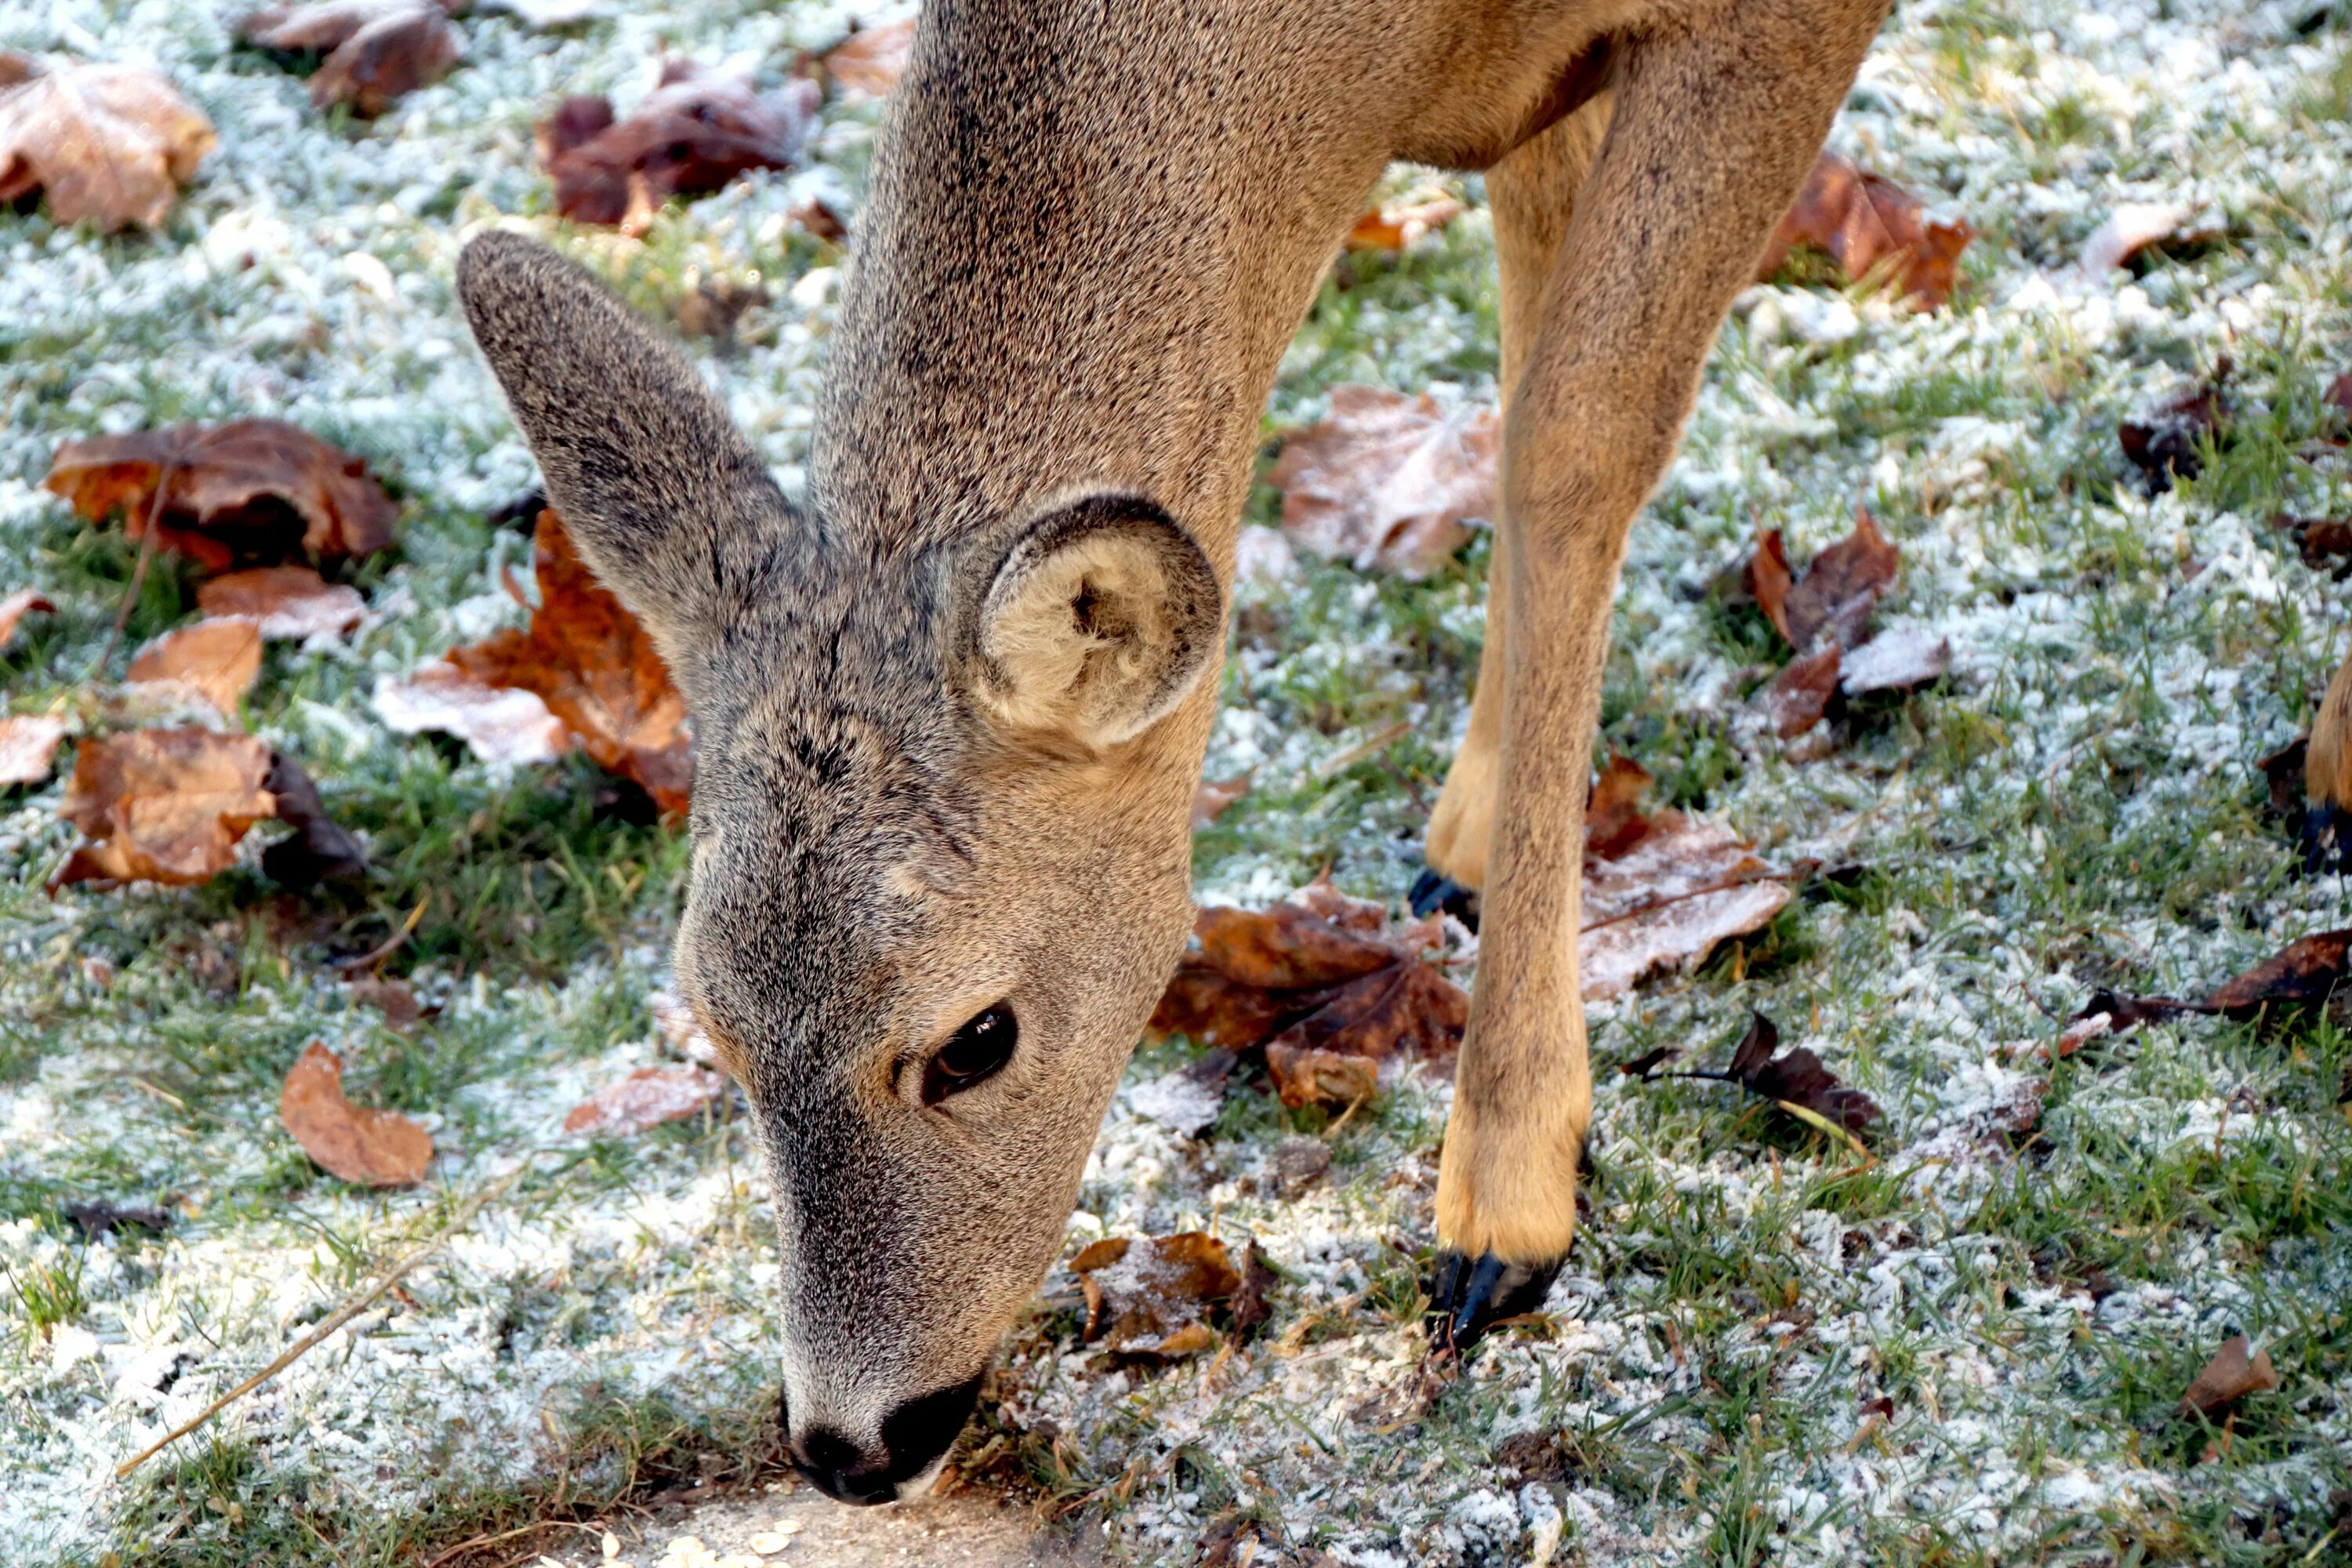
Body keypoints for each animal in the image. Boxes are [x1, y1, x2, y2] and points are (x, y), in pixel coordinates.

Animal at [454, 0, 1891, 1504]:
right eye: (713, 1029)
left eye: (976, 1039)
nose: (851, 1447)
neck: (1401, 63)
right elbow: (1523, 361)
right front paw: (1469, 852)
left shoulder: (1767, 35)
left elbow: (1572, 442)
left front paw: (1504, 1212)